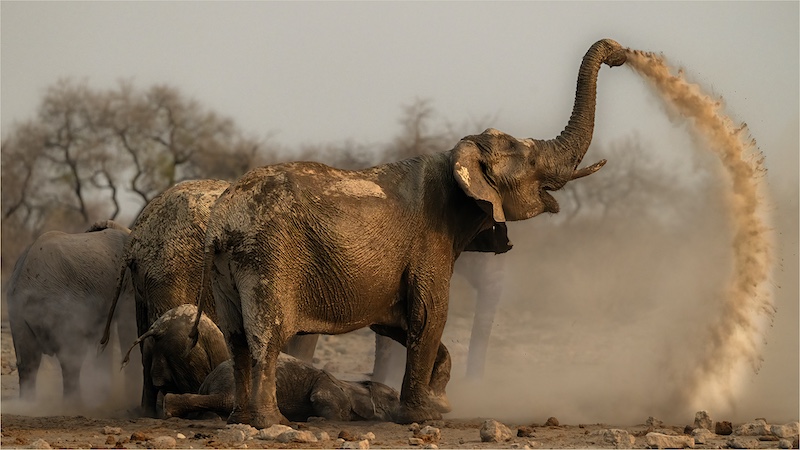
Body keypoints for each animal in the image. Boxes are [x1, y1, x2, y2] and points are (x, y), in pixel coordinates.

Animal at [6, 220, 138, 404]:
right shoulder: (128, 283)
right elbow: (128, 326)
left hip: (17, 314)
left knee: (28, 362)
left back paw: (28, 404)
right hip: (62, 310)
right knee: (71, 359)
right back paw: (74, 404)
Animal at [190, 38, 626, 427]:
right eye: (532, 160)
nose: (620, 54)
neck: (456, 159)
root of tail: (222, 223)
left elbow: (397, 323)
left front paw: (441, 403)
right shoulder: (429, 241)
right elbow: (430, 315)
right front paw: (424, 415)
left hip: (226, 269)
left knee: (236, 338)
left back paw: (240, 419)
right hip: (267, 257)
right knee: (266, 336)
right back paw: (271, 422)